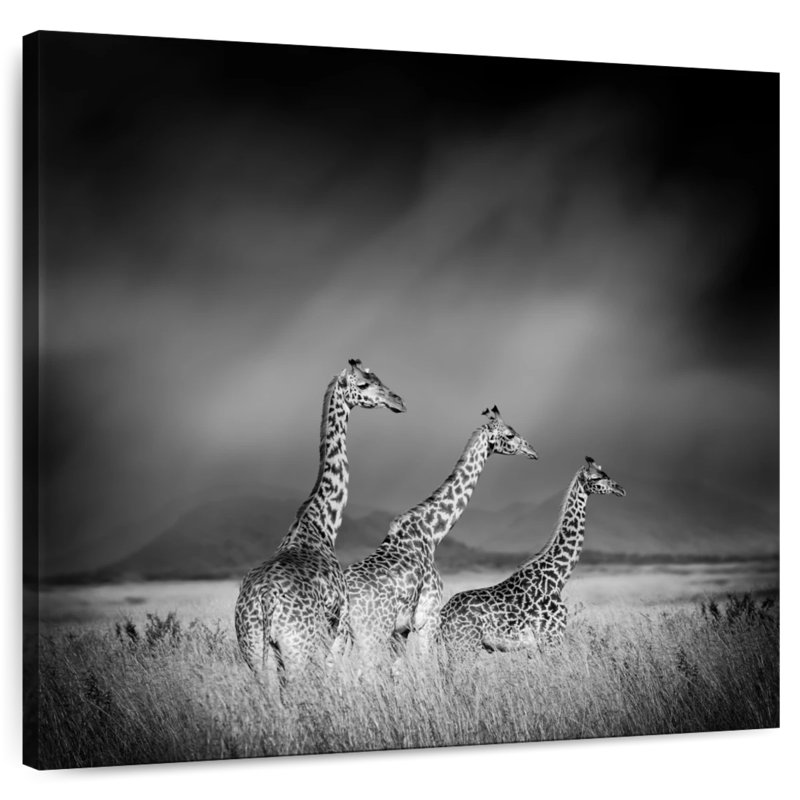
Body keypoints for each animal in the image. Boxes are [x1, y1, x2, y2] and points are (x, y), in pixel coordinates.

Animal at [234, 358, 406, 685]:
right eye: (364, 384)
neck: (321, 525)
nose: (398, 401)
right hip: (297, 646)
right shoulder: (339, 627)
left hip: (253, 650)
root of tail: (263, 602)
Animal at [343, 406, 538, 659]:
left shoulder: (402, 630)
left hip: (341, 634)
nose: (532, 451)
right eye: (509, 434)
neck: (431, 533)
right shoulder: (428, 618)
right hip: (372, 633)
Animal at [439, 457, 625, 656]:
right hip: (463, 645)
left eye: (606, 474)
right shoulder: (551, 638)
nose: (620, 489)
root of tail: (442, 615)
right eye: (596, 478)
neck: (557, 578)